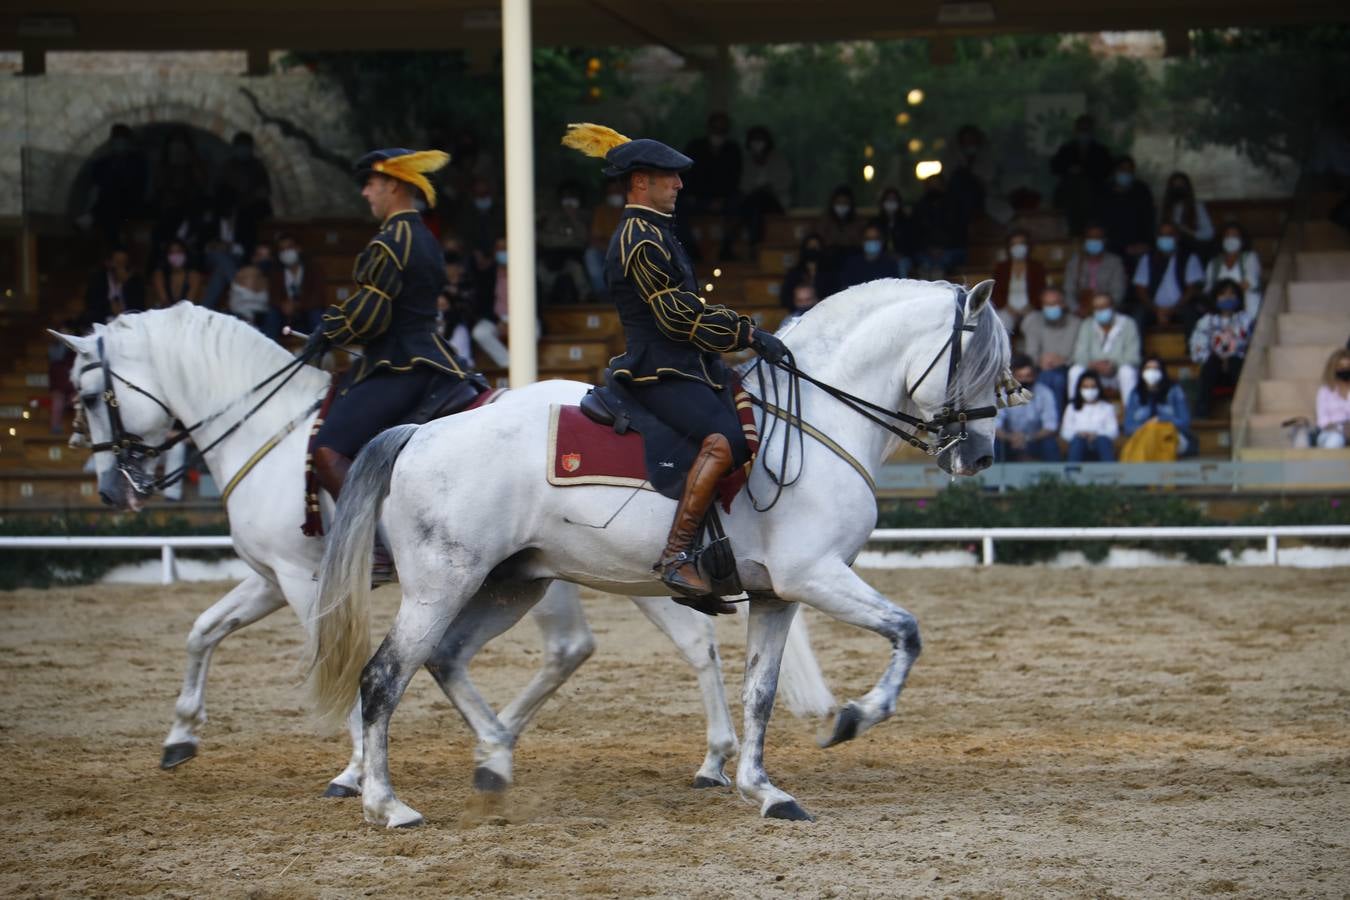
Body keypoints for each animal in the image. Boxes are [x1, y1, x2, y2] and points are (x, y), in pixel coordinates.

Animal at [49, 302, 831, 793]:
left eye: (87, 395)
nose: (112, 489)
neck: (268, 429)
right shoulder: (271, 577)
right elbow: (202, 630)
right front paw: (181, 735)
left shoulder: (302, 580)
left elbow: (336, 659)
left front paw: (354, 768)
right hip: (569, 574)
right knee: (643, 646)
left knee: (591, 648)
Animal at [310, 277, 1009, 825]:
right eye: (978, 363)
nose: (978, 456)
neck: (816, 421)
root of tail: (418, 434)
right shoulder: (815, 576)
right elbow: (907, 631)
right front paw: (855, 718)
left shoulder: (776, 595)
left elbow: (760, 691)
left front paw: (765, 790)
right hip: (441, 586)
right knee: (383, 676)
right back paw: (386, 803)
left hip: (511, 585)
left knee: (447, 658)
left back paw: (495, 760)